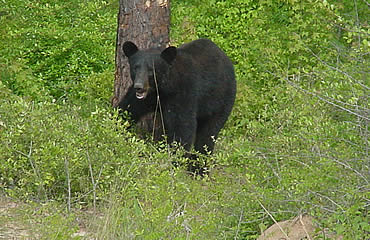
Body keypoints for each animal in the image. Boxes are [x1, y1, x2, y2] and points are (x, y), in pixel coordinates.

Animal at [118, 39, 236, 174]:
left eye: (151, 69)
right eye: (135, 68)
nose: (139, 86)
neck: (162, 89)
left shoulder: (183, 94)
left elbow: (182, 127)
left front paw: (175, 162)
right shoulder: (146, 98)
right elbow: (127, 109)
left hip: (221, 101)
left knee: (208, 134)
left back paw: (198, 168)